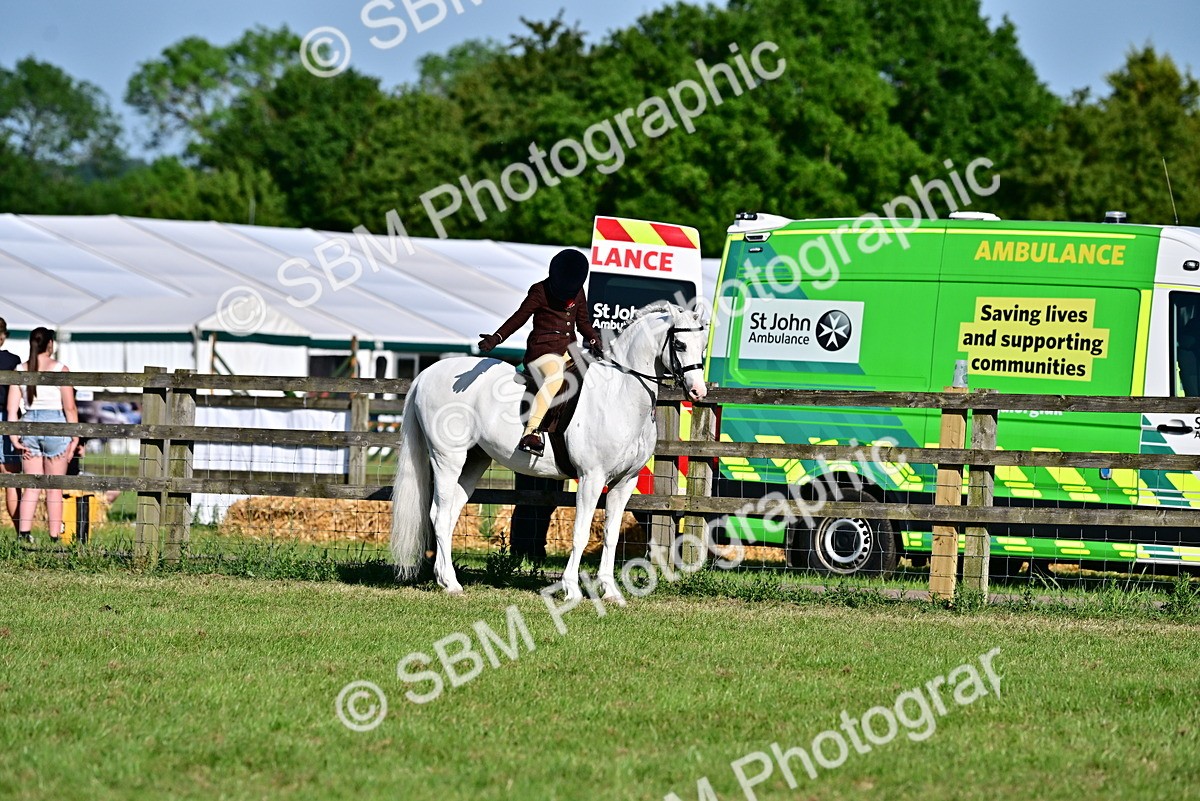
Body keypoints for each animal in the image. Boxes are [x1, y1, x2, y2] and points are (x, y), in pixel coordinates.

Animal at [389, 301, 709, 601]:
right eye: (680, 344)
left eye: (703, 345)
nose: (698, 392)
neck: (620, 393)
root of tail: (427, 374)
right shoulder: (592, 478)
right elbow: (580, 533)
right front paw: (572, 589)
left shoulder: (625, 482)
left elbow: (610, 535)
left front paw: (610, 592)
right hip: (448, 458)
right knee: (439, 514)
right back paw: (452, 584)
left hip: (475, 461)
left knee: (450, 513)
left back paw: (445, 578)